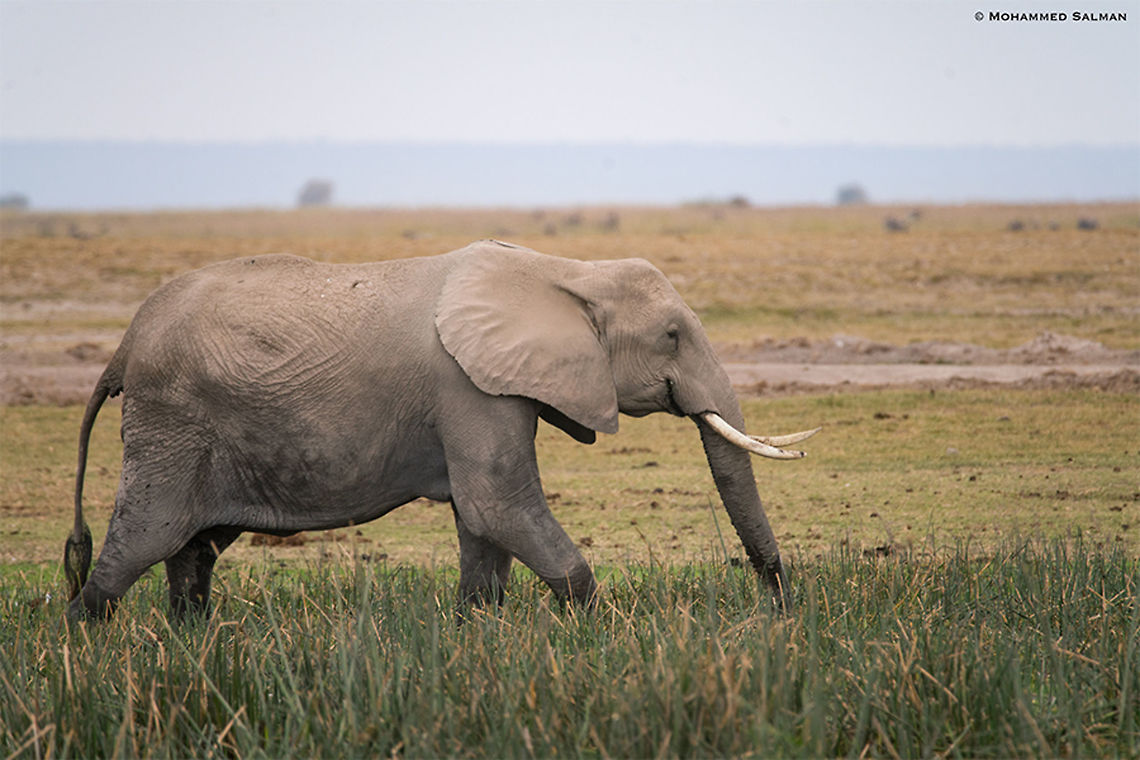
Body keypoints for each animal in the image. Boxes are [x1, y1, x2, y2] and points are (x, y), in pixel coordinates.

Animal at [64, 240, 817, 621]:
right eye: (671, 336)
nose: (779, 608)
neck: (566, 269)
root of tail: (124, 346)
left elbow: (482, 526)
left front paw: (476, 634)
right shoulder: (469, 386)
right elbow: (498, 504)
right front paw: (597, 632)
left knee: (194, 550)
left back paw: (191, 638)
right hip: (173, 419)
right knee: (143, 538)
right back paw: (87, 640)